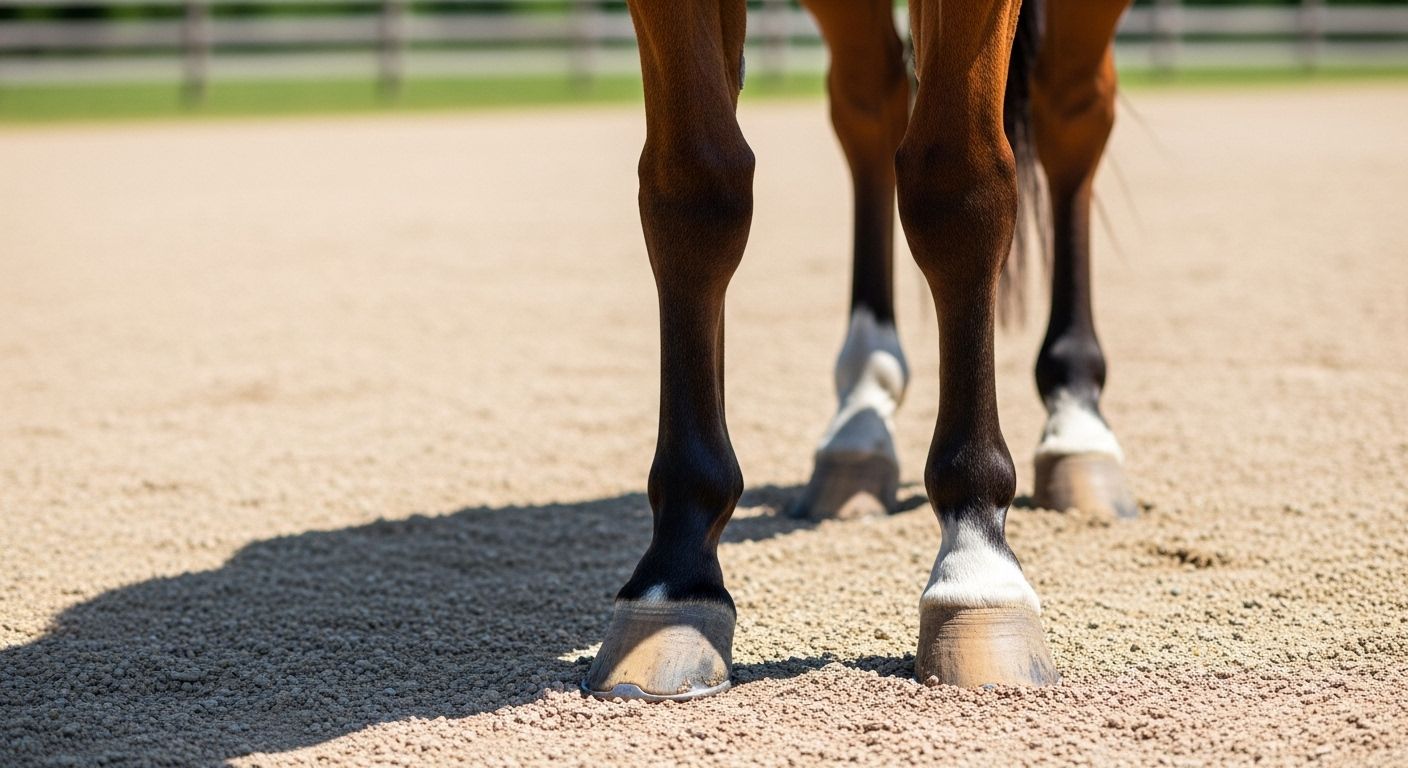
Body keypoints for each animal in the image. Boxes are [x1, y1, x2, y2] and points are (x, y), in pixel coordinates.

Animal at [583, 0, 1134, 700]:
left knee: (1072, 113)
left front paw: (978, 564)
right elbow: (696, 191)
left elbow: (959, 187)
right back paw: (861, 418)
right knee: (872, 107)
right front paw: (677, 573)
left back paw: (1077, 419)